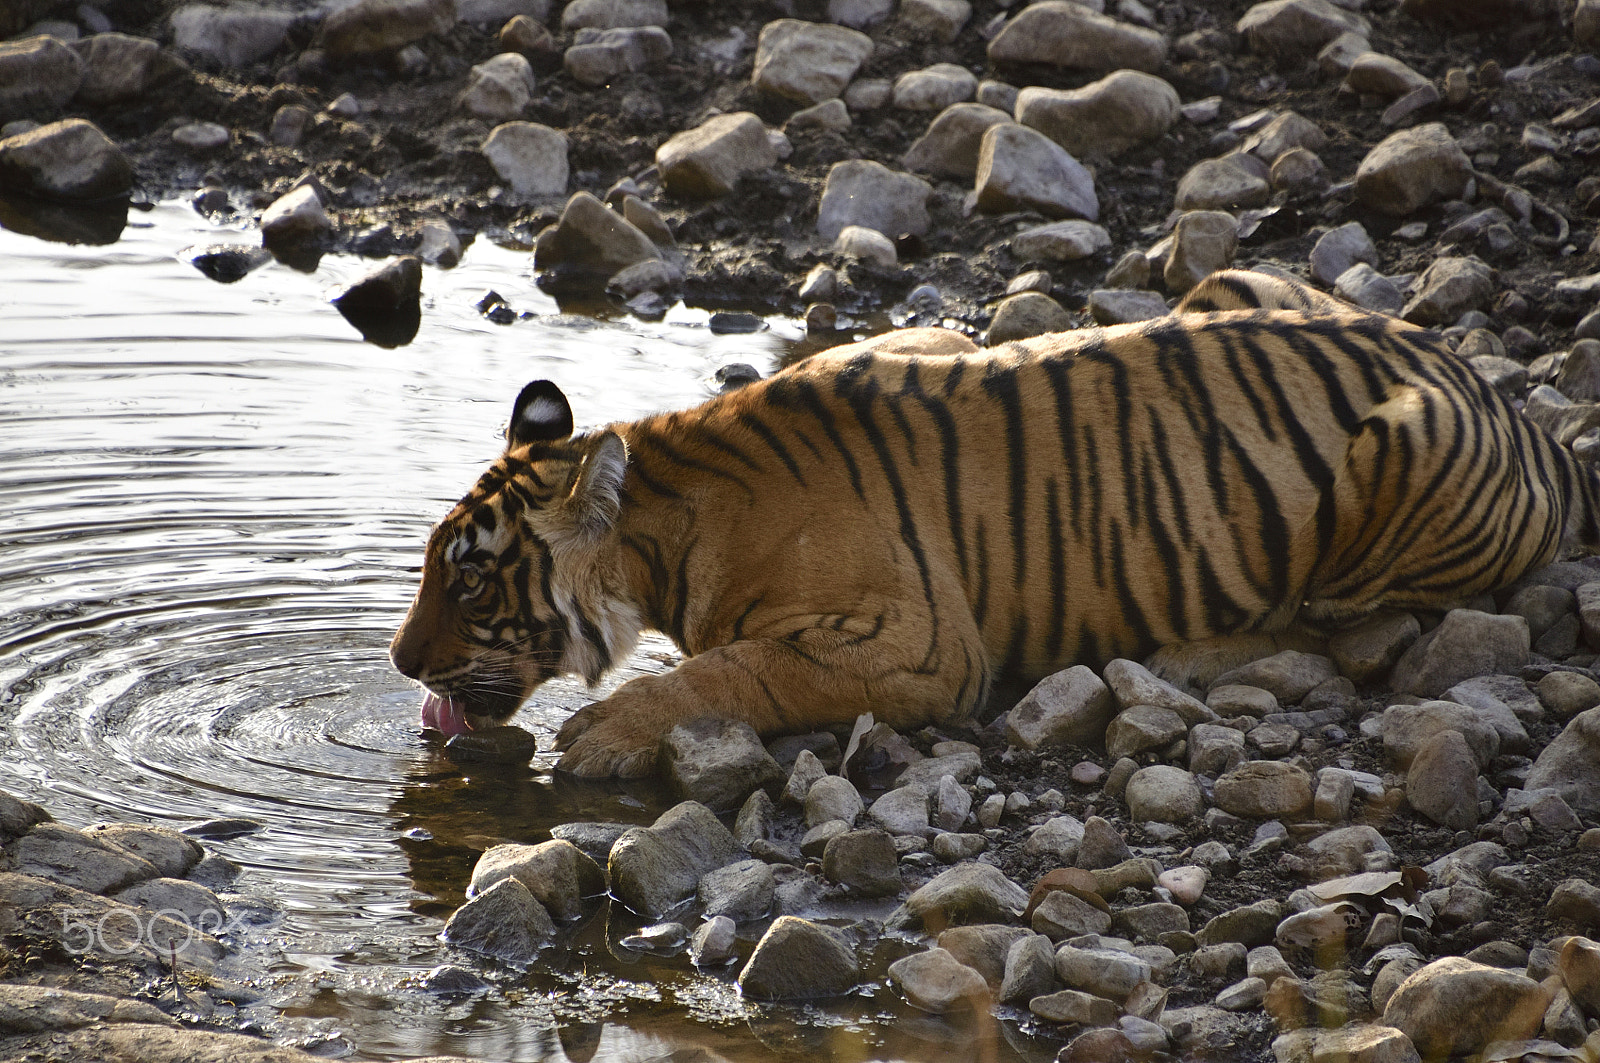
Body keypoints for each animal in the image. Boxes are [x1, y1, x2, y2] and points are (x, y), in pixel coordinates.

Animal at [390, 271, 1600, 777]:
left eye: (471, 579)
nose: (399, 664)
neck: (668, 508)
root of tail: (1511, 398)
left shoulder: (912, 643)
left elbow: (733, 669)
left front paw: (605, 729)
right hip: (1235, 277)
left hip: (1393, 447)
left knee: (1336, 615)